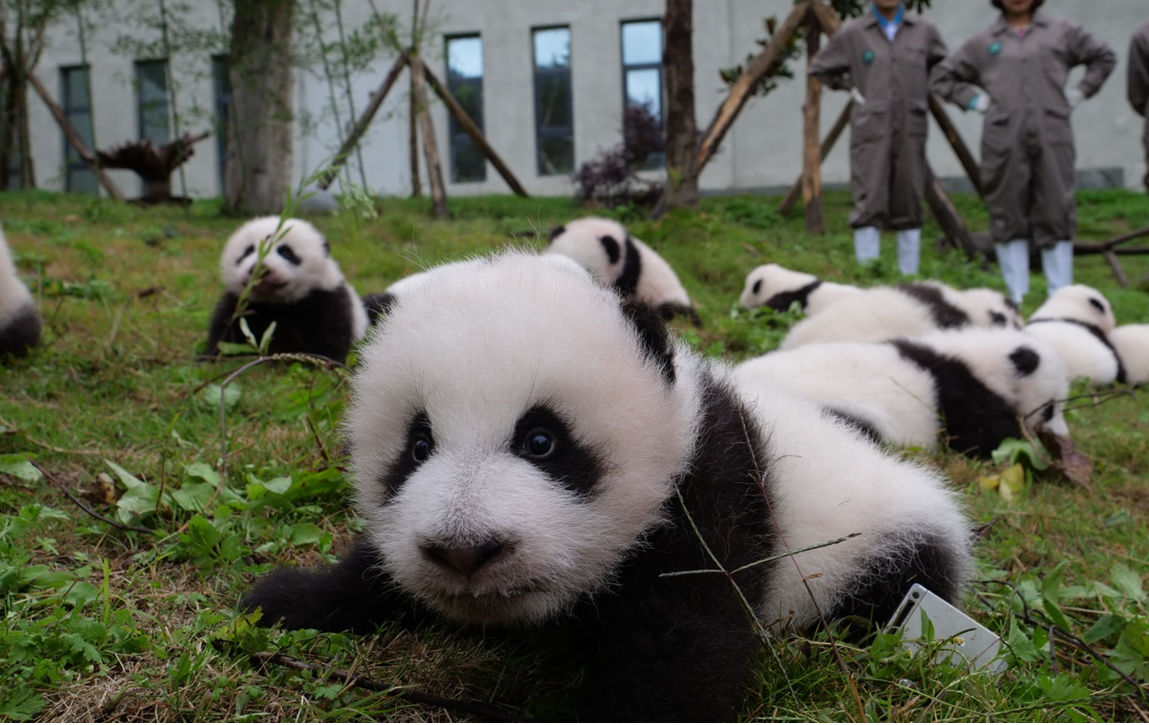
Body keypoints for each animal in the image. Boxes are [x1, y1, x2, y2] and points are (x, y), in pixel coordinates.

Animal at [204, 216, 369, 362]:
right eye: (248, 251)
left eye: (286, 252)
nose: (260, 269)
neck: (274, 303)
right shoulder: (241, 302)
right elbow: (225, 328)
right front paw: (212, 357)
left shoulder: (324, 297)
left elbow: (329, 332)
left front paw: (319, 361)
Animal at [241, 251, 972, 721]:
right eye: (418, 446)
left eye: (541, 441)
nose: (464, 550)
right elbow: (377, 566)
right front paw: (288, 598)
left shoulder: (708, 494)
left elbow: (679, 646)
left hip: (886, 553)